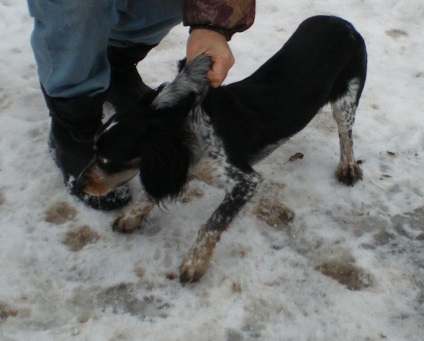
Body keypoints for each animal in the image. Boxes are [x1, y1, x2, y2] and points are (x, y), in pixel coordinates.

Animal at [77, 15, 368, 282]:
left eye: (106, 159)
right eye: (94, 151)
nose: (78, 184)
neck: (183, 123)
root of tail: (341, 22)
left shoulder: (245, 181)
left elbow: (212, 223)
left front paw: (194, 263)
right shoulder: (179, 166)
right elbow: (150, 194)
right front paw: (131, 217)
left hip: (347, 100)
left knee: (346, 136)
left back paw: (348, 167)